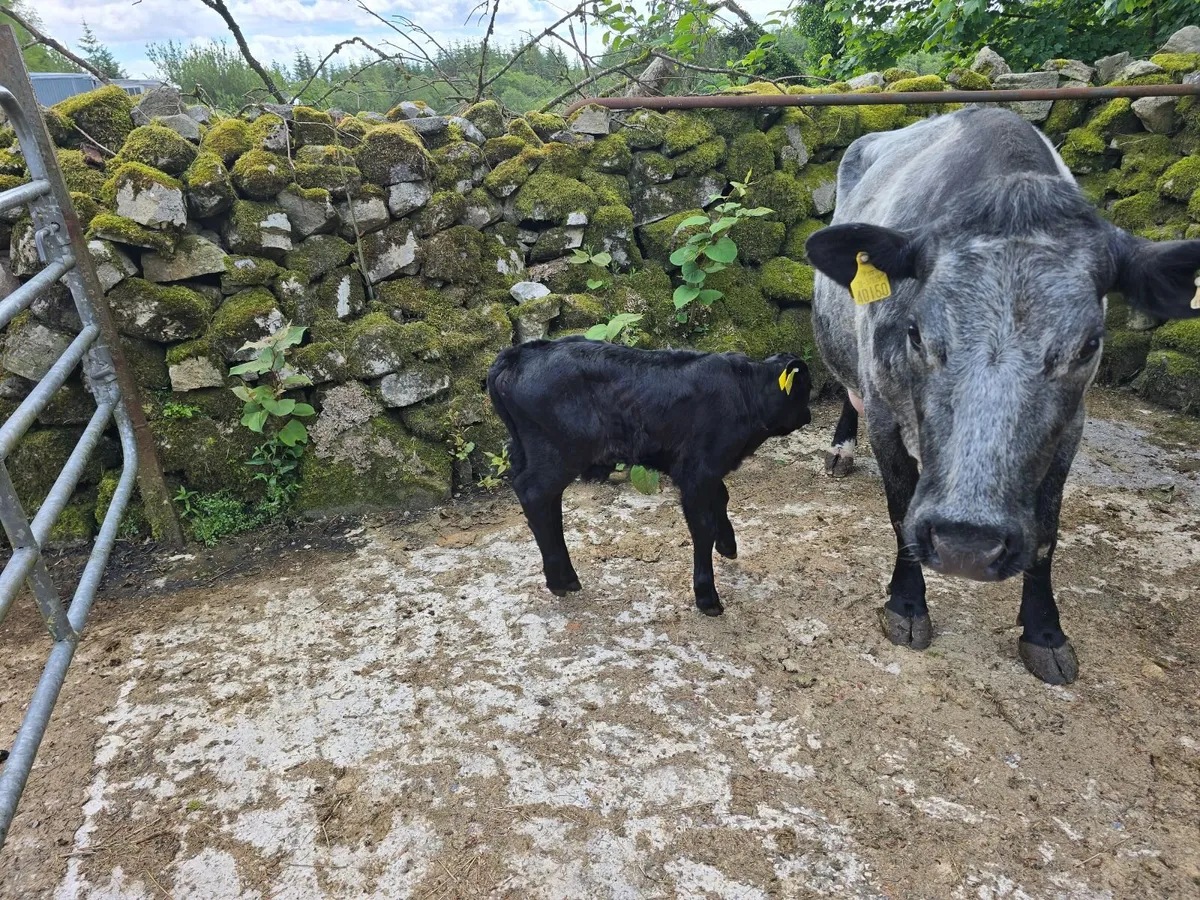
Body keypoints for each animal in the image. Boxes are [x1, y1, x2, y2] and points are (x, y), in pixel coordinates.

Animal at [487, 336, 811, 615]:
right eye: (805, 389)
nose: (808, 415)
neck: (745, 390)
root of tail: (520, 353)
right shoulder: (696, 471)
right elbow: (703, 527)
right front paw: (707, 596)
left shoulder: (705, 469)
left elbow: (722, 496)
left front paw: (728, 544)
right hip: (560, 453)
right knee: (533, 494)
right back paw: (559, 580)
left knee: (547, 504)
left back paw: (566, 576)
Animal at [804, 106, 1200, 684]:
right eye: (915, 332)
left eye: (1089, 345)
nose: (966, 544)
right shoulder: (882, 406)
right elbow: (900, 509)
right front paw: (906, 606)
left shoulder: (1072, 427)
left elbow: (1046, 534)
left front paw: (1045, 634)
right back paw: (841, 448)